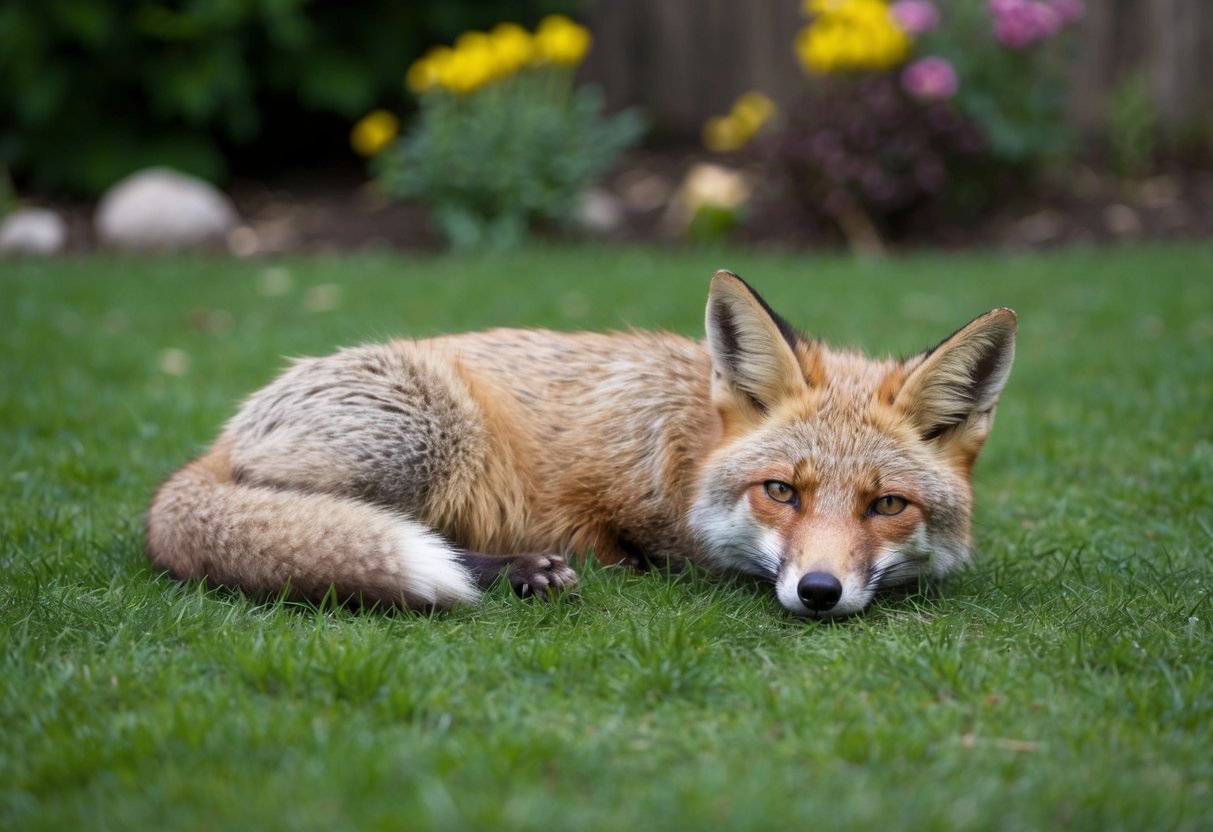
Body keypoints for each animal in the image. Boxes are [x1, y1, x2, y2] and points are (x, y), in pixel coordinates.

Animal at [146, 270, 1016, 619]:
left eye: (887, 505)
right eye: (781, 491)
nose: (820, 592)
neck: (686, 446)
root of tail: (216, 442)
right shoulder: (613, 516)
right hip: (430, 436)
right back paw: (522, 572)